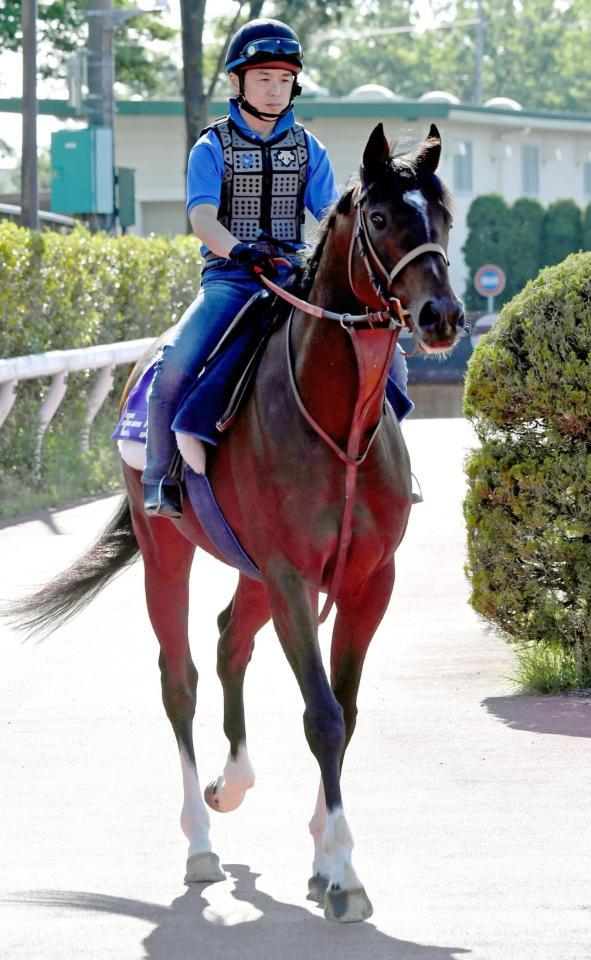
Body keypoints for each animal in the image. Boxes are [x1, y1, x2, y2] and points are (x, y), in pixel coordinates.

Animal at [7, 123, 464, 923]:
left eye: (441, 215)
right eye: (380, 218)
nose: (442, 316)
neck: (336, 422)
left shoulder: (366, 580)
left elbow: (344, 708)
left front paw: (323, 856)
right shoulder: (290, 577)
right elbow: (322, 715)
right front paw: (344, 873)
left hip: (253, 570)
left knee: (228, 641)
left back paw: (234, 782)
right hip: (169, 549)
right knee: (180, 677)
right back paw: (200, 842)